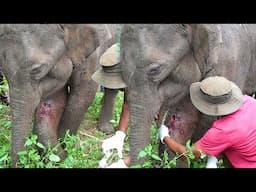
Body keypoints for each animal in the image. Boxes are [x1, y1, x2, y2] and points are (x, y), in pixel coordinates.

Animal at [0, 24, 118, 166]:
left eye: (38, 70)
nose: (8, 162)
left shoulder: (92, 54)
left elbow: (83, 95)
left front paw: (65, 145)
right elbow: (52, 103)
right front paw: (59, 154)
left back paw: (106, 130)